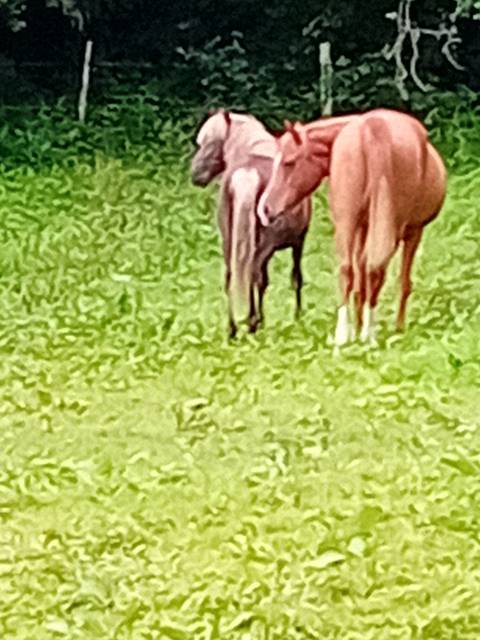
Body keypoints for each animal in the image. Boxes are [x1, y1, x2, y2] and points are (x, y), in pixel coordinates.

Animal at [191, 110, 312, 338]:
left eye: (211, 143)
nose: (195, 175)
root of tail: (248, 172)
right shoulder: (298, 241)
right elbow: (295, 279)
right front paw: (298, 317)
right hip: (264, 246)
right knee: (253, 276)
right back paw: (252, 323)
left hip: (231, 242)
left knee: (232, 277)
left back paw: (233, 329)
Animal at [258, 110, 446, 350]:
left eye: (289, 162)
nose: (265, 208)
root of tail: (372, 128)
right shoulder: (412, 230)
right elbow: (401, 282)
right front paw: (396, 328)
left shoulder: (362, 227)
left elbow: (359, 278)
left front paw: (356, 327)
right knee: (376, 271)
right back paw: (369, 334)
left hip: (347, 221)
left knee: (348, 270)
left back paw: (344, 335)